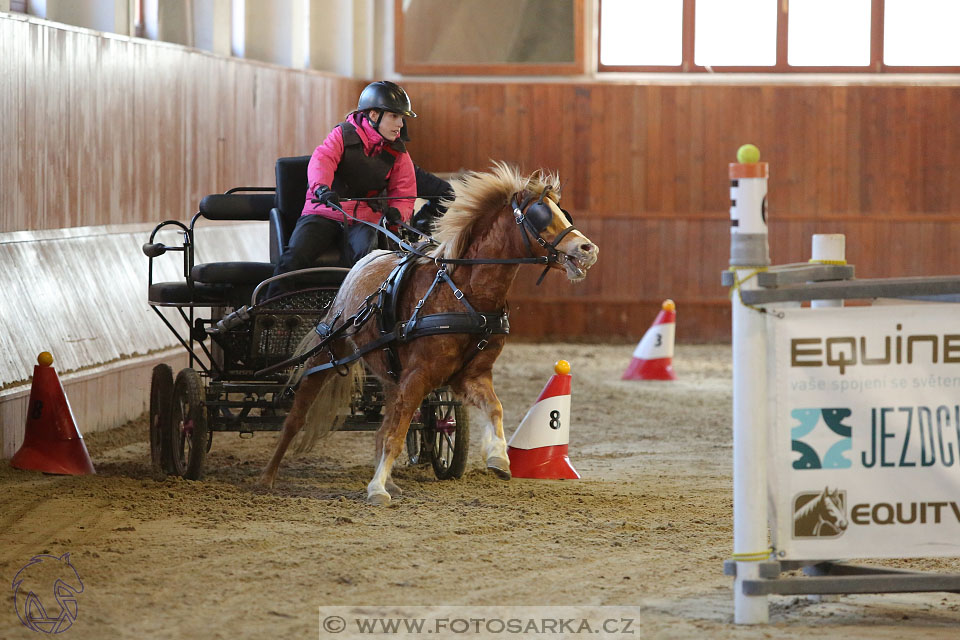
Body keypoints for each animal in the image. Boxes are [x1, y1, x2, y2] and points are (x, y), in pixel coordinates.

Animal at [255, 162, 600, 502]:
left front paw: (499, 459)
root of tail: (363, 262)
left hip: (390, 374)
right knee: (296, 418)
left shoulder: (470, 375)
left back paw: (392, 481)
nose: (589, 248)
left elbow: (494, 408)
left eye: (563, 212)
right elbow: (397, 435)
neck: (465, 295)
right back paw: (268, 477)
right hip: (329, 354)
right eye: (541, 215)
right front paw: (376, 488)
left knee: (383, 424)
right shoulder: (418, 376)